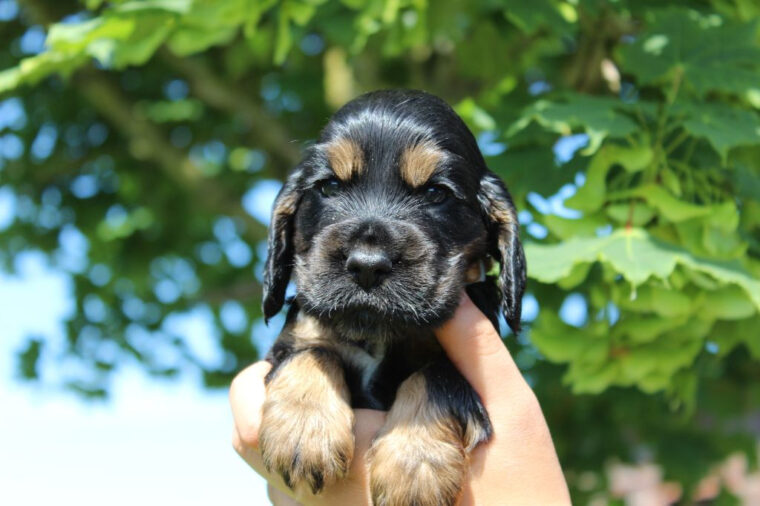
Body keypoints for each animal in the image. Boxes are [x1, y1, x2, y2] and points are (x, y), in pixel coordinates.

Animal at [258, 91, 524, 506]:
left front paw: (415, 468)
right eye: (329, 187)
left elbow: (434, 376)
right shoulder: (298, 336)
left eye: (435, 193)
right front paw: (302, 434)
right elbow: (312, 352)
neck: (378, 335)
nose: (367, 265)